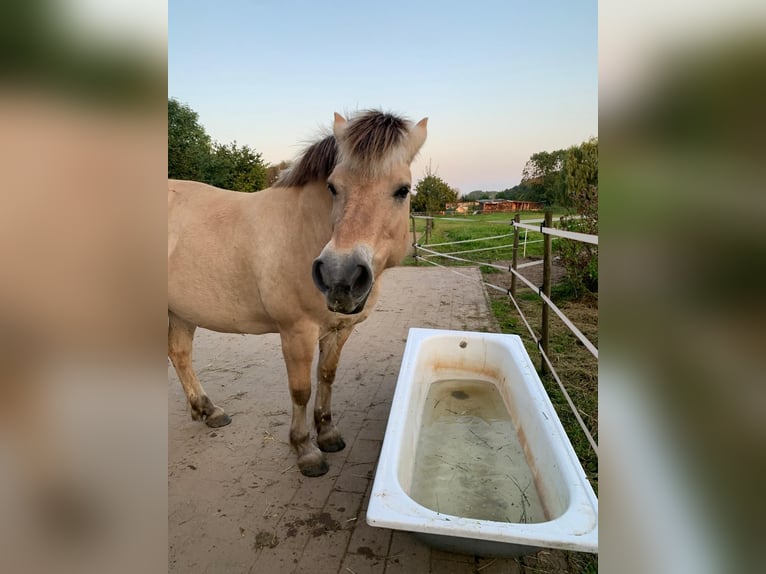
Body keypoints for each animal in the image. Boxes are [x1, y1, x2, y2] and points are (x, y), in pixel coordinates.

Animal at [166, 110, 426, 480]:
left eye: (402, 190)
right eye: (333, 186)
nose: (339, 275)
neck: (305, 230)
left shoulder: (339, 330)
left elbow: (326, 377)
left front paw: (327, 433)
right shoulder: (296, 331)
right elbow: (301, 389)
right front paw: (305, 449)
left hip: (182, 312)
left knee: (180, 354)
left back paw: (208, 410)